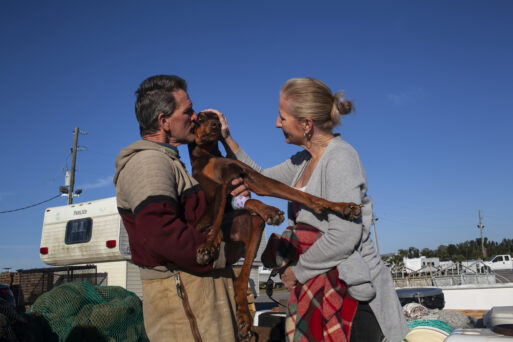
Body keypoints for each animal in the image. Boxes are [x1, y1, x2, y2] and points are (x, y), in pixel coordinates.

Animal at [188, 111, 360, 340]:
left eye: (214, 116)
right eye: (199, 118)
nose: (216, 124)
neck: (209, 153)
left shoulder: (250, 178)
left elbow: (299, 194)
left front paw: (339, 206)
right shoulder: (216, 188)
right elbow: (225, 212)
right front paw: (208, 244)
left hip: (254, 228)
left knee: (241, 279)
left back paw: (244, 316)